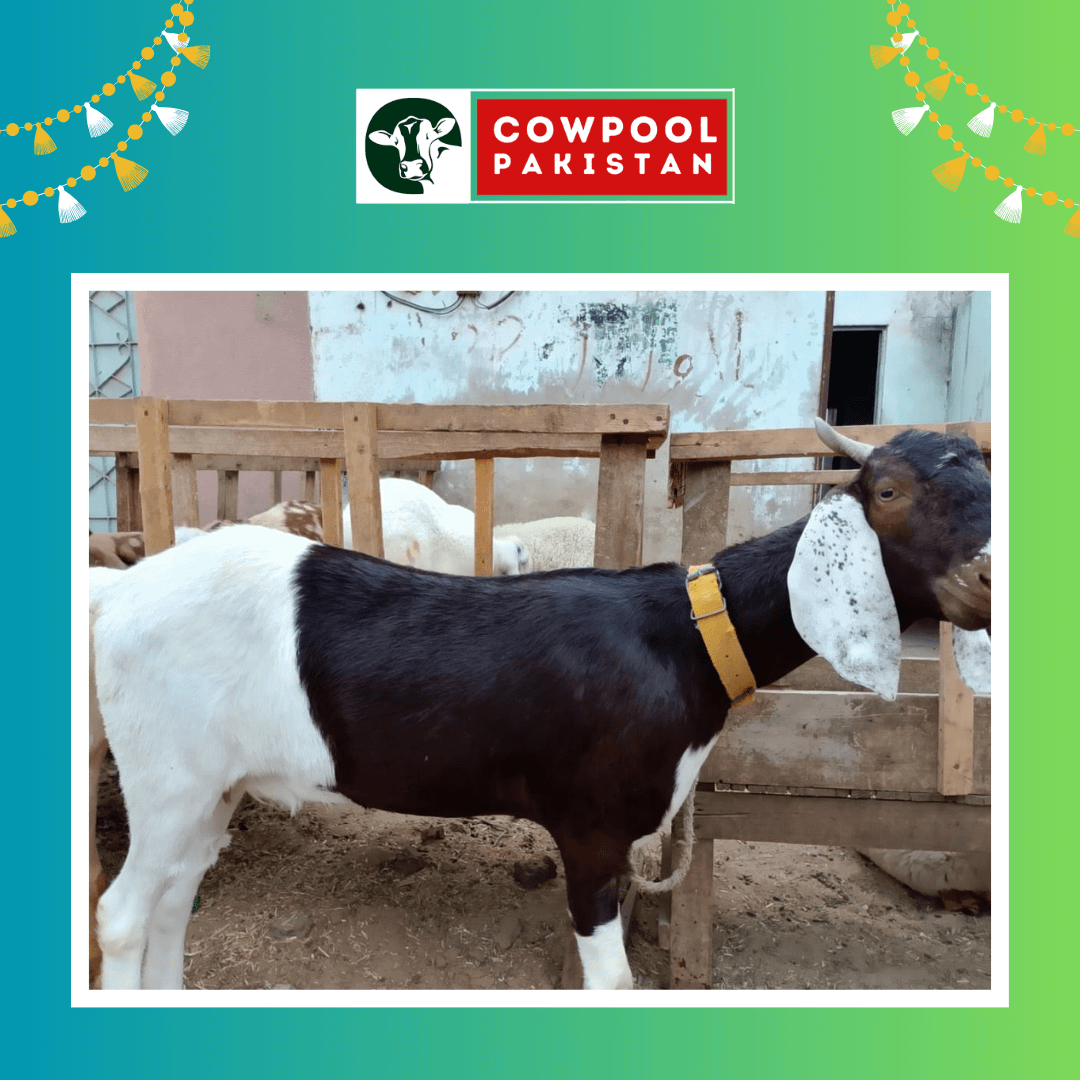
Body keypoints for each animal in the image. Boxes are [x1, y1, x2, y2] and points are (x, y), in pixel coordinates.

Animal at [88, 421, 991, 990]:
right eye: (886, 489)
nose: (986, 579)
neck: (685, 640)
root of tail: (120, 594)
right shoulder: (590, 828)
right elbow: (614, 982)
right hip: (165, 778)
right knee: (124, 915)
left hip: (215, 785)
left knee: (174, 902)